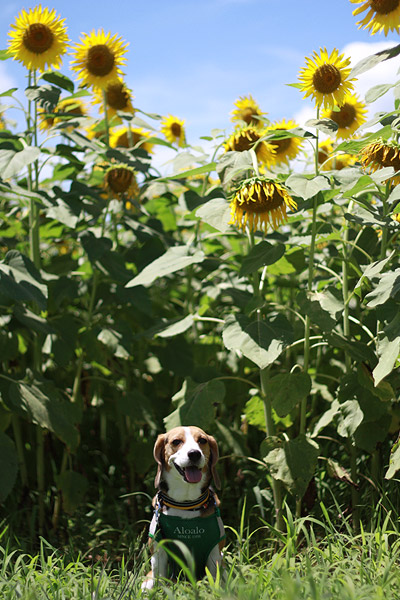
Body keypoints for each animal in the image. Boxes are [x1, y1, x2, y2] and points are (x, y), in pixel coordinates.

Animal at [142, 424, 225, 588]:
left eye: (202, 440)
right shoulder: (159, 552)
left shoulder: (214, 554)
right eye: (176, 441)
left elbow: (214, 581)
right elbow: (160, 581)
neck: (185, 503)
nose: (194, 454)